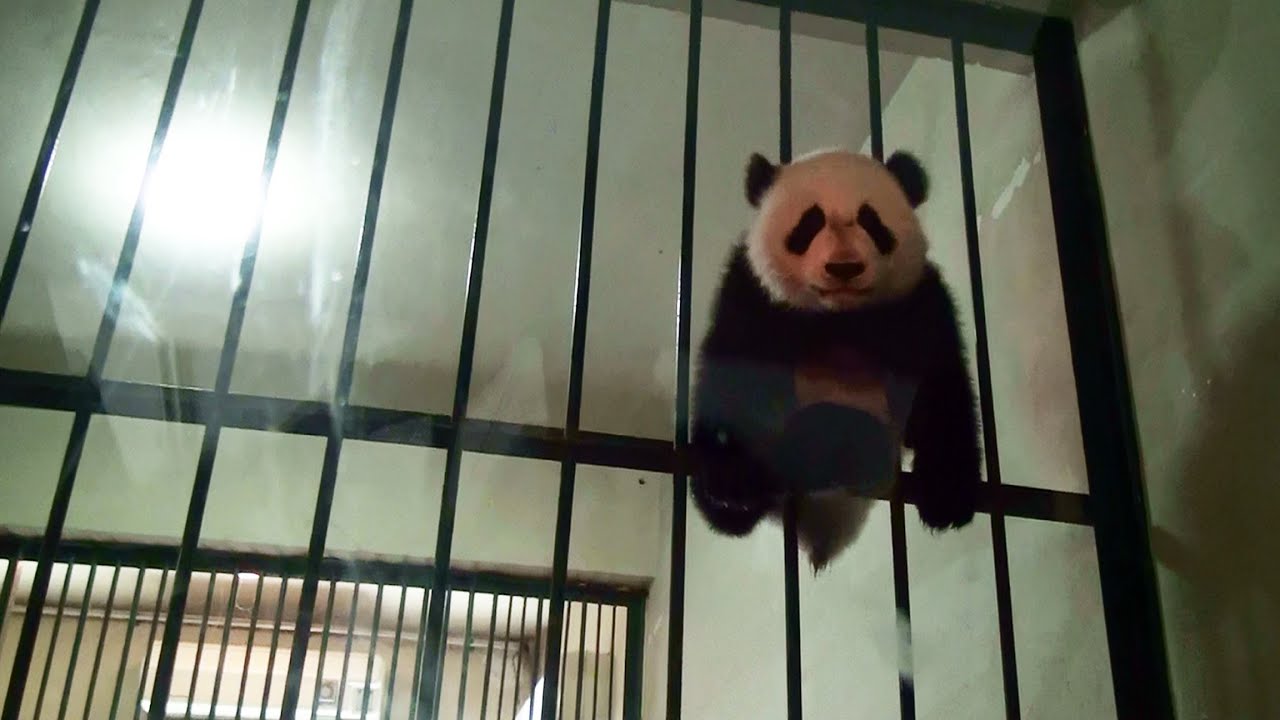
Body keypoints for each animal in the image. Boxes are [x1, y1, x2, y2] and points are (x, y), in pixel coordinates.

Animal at [689, 147, 982, 572]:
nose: (844, 267)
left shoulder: (919, 301)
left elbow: (941, 385)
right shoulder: (753, 294)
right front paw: (731, 477)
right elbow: (734, 371)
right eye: (809, 222)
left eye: (870, 220)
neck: (839, 316)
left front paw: (946, 491)